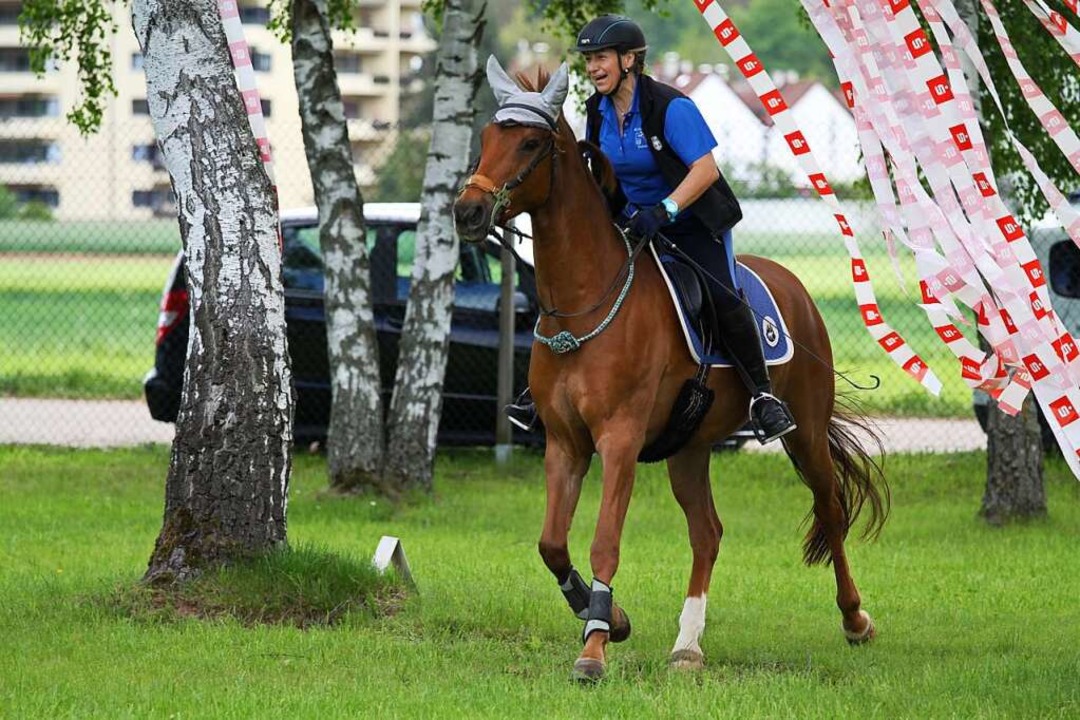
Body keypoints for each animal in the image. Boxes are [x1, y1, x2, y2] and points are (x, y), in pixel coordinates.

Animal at [453, 57, 885, 682]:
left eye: (530, 143)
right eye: (488, 138)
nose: (467, 212)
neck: (585, 298)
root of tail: (792, 284)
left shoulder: (619, 439)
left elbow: (604, 542)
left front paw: (593, 650)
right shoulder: (564, 442)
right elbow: (552, 544)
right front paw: (609, 619)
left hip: (803, 428)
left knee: (829, 510)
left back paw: (855, 620)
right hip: (690, 446)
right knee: (707, 533)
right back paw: (688, 646)